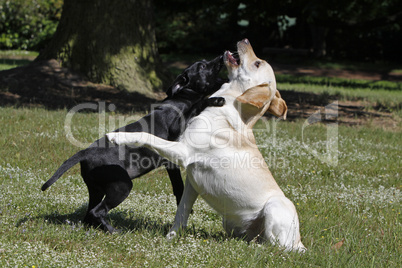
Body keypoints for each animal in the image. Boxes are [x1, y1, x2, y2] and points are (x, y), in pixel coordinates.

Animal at [43, 56, 226, 232]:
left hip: (97, 189)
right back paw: (114, 231)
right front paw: (215, 99)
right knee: (96, 212)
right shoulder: (176, 127)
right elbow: (197, 106)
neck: (181, 98)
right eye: (202, 66)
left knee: (89, 215)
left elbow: (178, 188)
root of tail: (86, 152)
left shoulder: (170, 162)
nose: (221, 57)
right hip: (122, 186)